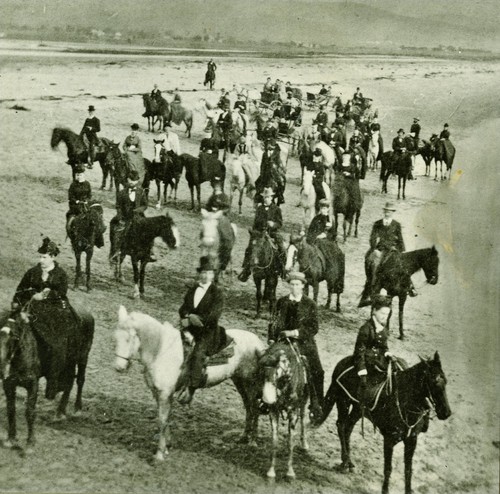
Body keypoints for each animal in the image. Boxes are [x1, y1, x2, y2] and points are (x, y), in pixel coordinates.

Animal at [0, 308, 94, 452]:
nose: (1, 366)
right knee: (69, 384)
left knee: (80, 380)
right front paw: (10, 439)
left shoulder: (32, 384)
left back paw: (77, 409)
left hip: (83, 357)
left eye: (14, 336)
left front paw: (30, 443)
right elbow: (11, 410)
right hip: (68, 363)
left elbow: (30, 411)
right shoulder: (8, 384)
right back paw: (60, 412)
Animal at [115, 306, 268, 462]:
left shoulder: (165, 393)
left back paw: (253, 441)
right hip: (239, 381)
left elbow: (162, 420)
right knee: (248, 408)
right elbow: (166, 418)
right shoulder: (157, 393)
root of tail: (258, 343)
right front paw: (167, 446)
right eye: (115, 337)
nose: (119, 367)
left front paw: (159, 454)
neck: (161, 350)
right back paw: (244, 437)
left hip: (250, 382)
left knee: (254, 408)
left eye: (128, 339)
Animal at [258, 340, 308, 478]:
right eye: (261, 372)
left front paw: (290, 472)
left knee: (303, 420)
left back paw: (304, 444)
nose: (268, 399)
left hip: (303, 404)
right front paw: (271, 471)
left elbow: (291, 442)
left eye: (276, 372)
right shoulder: (273, 411)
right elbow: (274, 441)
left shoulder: (293, 413)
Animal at [314, 354, 452, 492]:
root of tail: (342, 362)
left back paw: (349, 462)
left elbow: (408, 470)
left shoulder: (411, 440)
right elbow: (388, 469)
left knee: (348, 427)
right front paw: (385, 490)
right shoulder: (389, 440)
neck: (404, 400)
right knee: (341, 426)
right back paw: (345, 462)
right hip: (343, 401)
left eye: (445, 381)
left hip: (358, 409)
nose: (446, 413)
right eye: (434, 381)